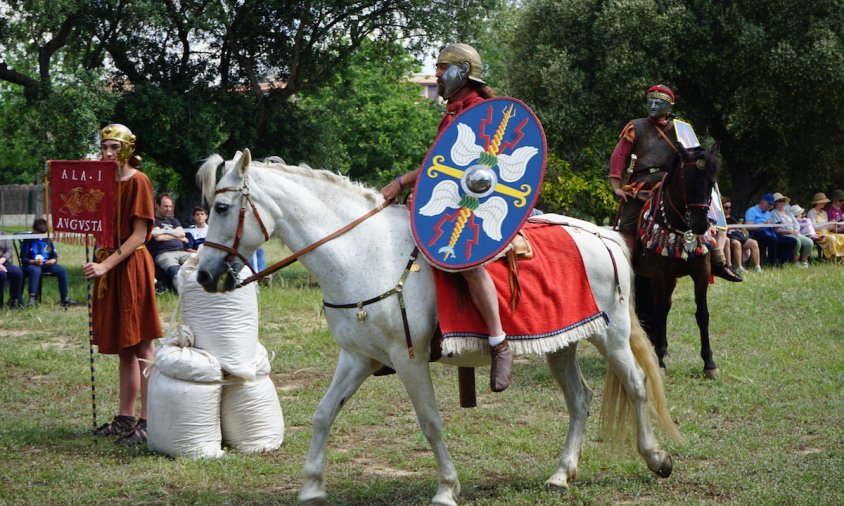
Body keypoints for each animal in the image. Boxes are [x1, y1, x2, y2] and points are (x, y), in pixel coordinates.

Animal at [196, 148, 680, 504]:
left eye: (221, 206)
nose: (203, 275)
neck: (364, 252)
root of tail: (604, 236)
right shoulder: (358, 357)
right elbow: (323, 413)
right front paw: (312, 487)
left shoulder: (408, 359)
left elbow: (429, 420)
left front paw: (447, 488)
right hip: (564, 342)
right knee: (579, 398)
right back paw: (562, 474)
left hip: (610, 334)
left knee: (636, 385)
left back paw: (657, 458)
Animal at [632, 141, 720, 376]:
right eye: (687, 182)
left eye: (712, 184)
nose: (701, 225)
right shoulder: (658, 276)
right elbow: (660, 312)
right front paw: (660, 360)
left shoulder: (701, 273)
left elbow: (702, 314)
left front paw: (709, 363)